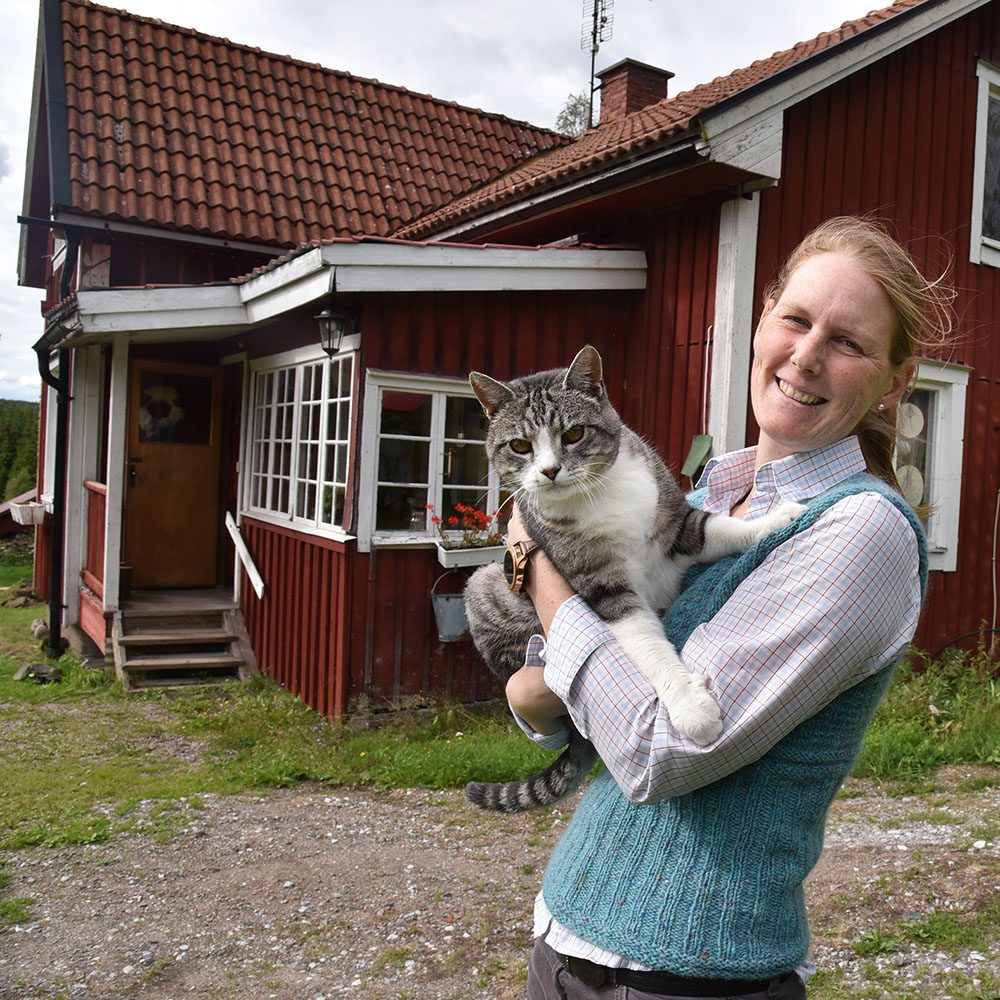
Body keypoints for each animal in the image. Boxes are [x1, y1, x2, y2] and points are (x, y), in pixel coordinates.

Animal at [462, 344, 804, 812]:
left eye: (574, 434)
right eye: (519, 445)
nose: (550, 470)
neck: (600, 492)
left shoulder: (675, 523)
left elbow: (713, 528)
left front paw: (775, 520)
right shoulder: (599, 582)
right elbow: (644, 642)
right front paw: (692, 708)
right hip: (481, 587)